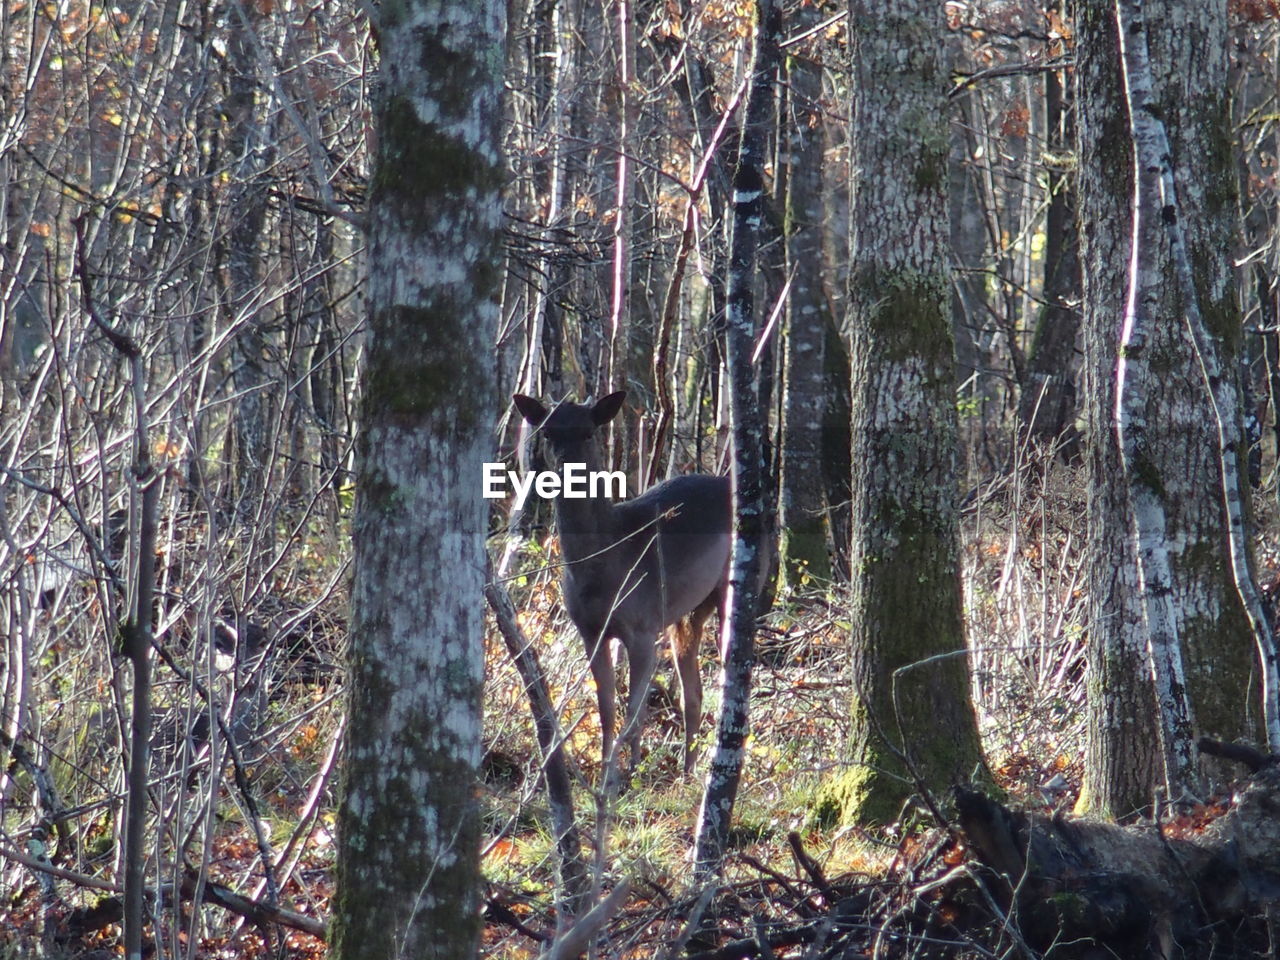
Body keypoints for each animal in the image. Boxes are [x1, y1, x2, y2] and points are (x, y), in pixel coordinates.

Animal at [509, 391, 732, 788]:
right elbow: (607, 706)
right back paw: (687, 771)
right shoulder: (591, 631)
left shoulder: (642, 625)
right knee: (693, 689)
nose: (565, 469)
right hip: (685, 612)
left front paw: (627, 775)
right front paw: (609, 774)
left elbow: (634, 707)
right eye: (548, 432)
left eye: (588, 432)